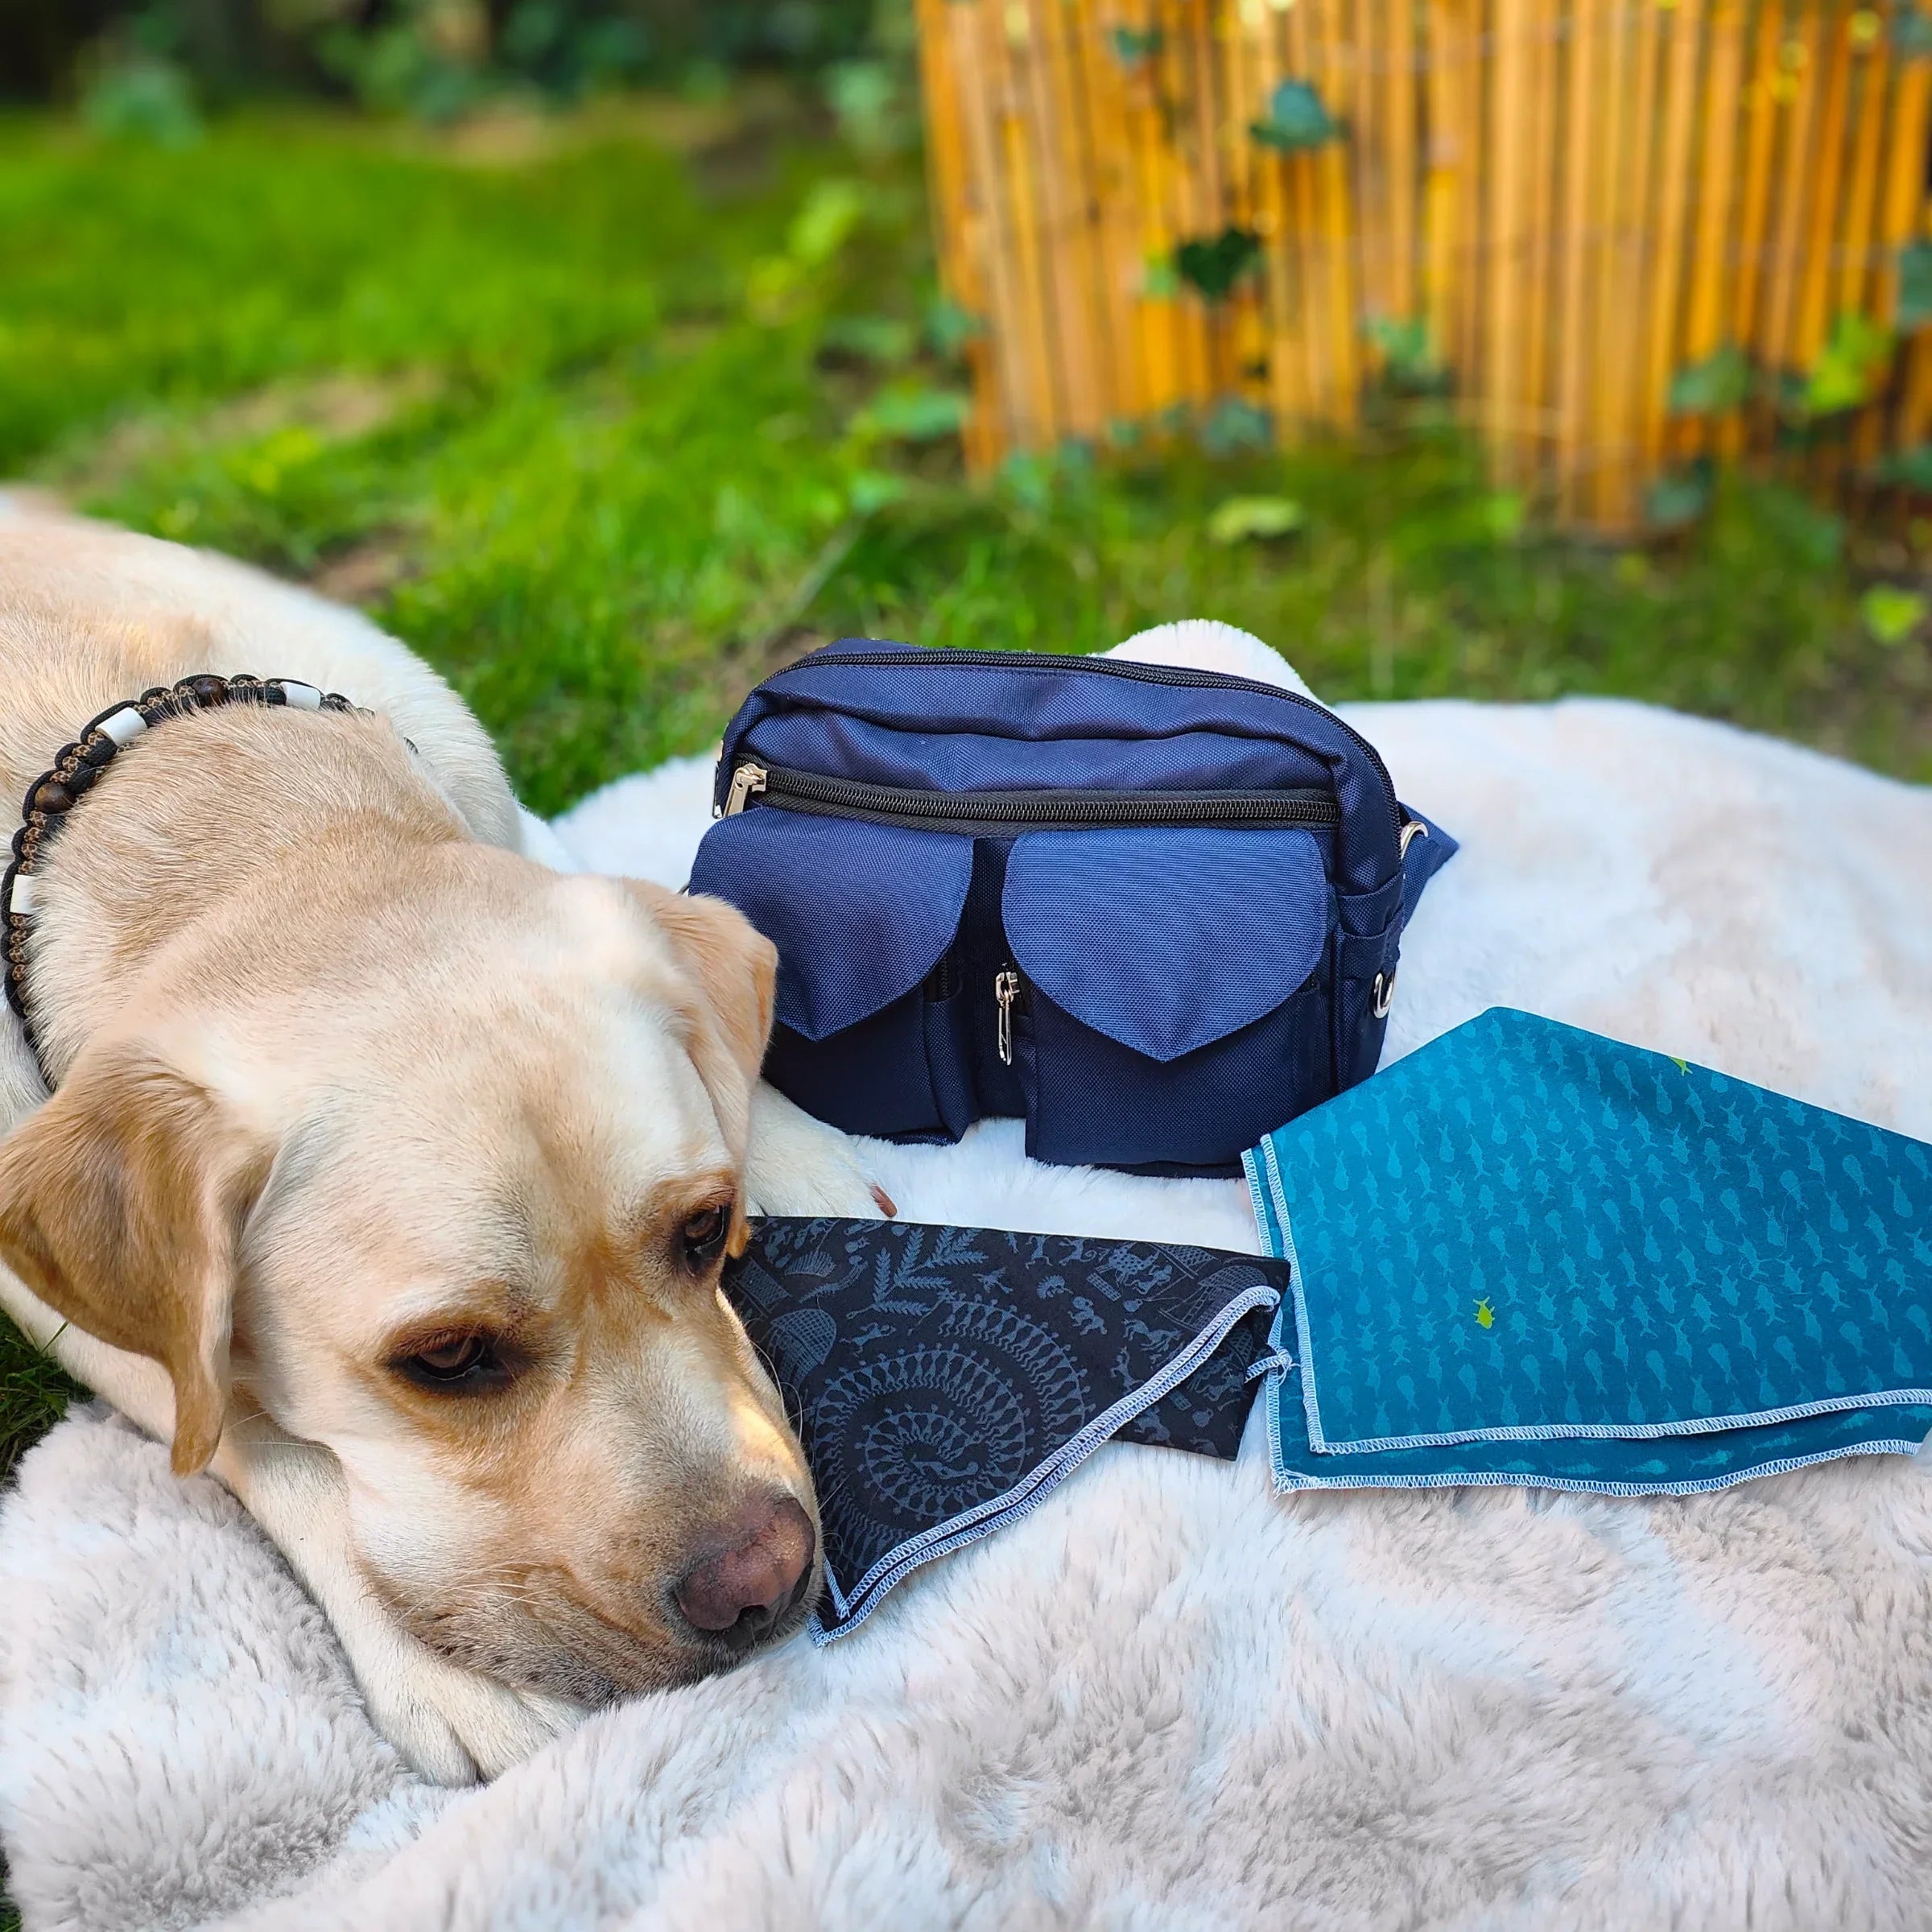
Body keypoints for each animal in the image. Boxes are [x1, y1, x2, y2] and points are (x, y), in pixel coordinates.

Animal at [0, 502, 885, 1777]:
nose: (763, 1584)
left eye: (706, 1228)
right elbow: (247, 1436)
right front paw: (445, 1667)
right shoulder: (49, 1290)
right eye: (450, 1358)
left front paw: (793, 1146)